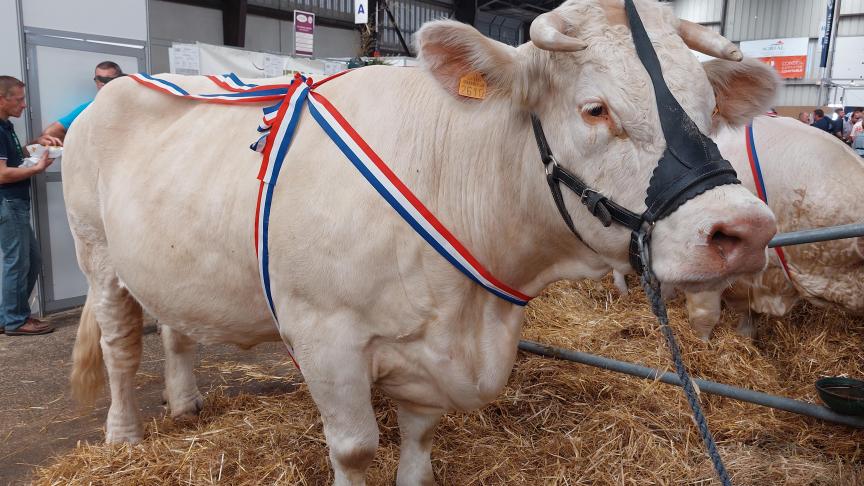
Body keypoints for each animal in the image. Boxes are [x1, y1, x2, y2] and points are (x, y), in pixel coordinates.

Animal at [67, 1, 776, 484]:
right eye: (595, 109)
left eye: (709, 107)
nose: (746, 229)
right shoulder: (324, 337)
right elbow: (355, 449)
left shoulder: (431, 352)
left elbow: (421, 434)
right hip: (95, 251)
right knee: (120, 344)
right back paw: (124, 436)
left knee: (175, 326)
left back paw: (185, 403)